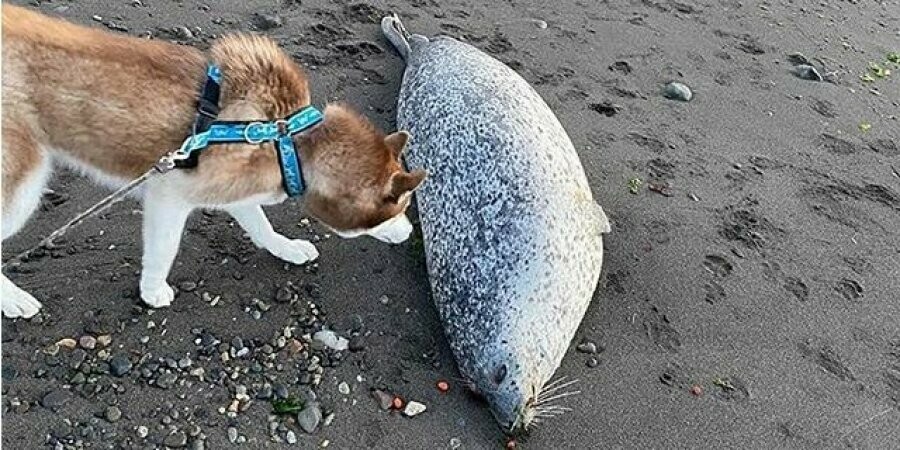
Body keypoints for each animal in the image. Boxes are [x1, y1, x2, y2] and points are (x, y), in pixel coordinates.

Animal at [0, 5, 428, 318]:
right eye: (398, 208)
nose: (410, 232)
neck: (288, 139)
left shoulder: (236, 188)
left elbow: (260, 226)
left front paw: (285, 247)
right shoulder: (169, 194)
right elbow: (163, 251)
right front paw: (152, 290)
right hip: (22, 187)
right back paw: (13, 300)